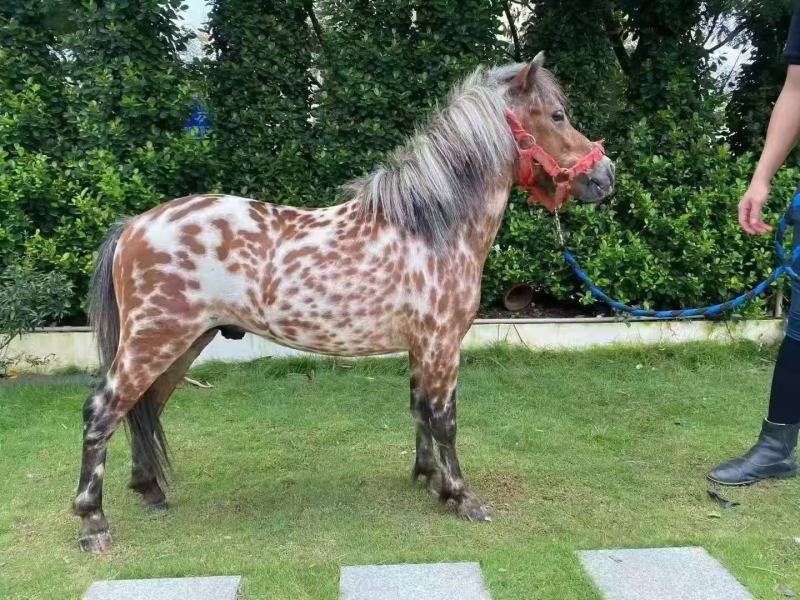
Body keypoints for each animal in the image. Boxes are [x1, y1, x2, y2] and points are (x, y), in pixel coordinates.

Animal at [73, 52, 615, 554]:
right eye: (557, 115)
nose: (605, 176)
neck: (430, 227)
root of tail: (133, 226)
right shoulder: (442, 344)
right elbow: (445, 418)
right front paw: (462, 496)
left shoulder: (421, 346)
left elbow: (420, 409)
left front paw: (430, 480)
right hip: (153, 342)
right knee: (102, 411)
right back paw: (92, 523)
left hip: (181, 345)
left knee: (143, 408)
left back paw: (150, 490)